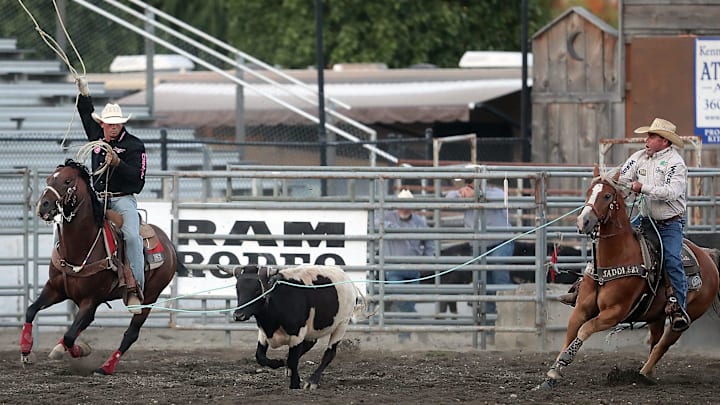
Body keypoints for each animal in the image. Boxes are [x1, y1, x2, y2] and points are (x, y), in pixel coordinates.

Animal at [22, 159, 181, 374]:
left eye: (67, 181)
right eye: (48, 179)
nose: (43, 205)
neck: (79, 247)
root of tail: (169, 243)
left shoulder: (90, 300)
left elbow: (70, 336)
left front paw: (81, 350)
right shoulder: (55, 289)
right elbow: (31, 311)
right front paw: (26, 351)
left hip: (149, 297)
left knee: (131, 334)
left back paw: (105, 367)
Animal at [544, 166, 716, 386]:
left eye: (607, 195)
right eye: (589, 192)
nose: (584, 221)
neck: (614, 259)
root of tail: (708, 256)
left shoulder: (614, 313)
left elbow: (585, 329)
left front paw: (564, 361)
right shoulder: (581, 308)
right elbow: (571, 332)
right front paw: (554, 370)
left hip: (688, 317)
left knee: (663, 344)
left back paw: (643, 373)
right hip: (656, 315)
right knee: (655, 340)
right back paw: (647, 373)